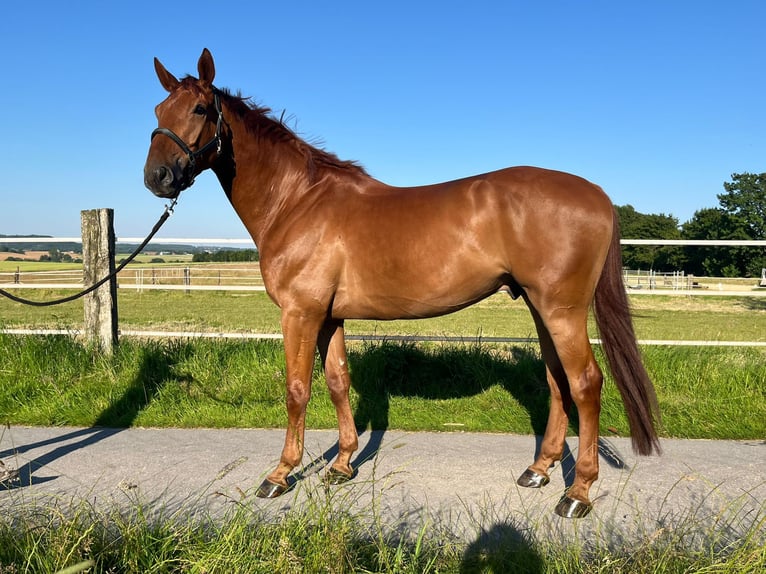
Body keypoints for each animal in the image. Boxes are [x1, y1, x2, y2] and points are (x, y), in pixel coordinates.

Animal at [147, 47, 664, 520]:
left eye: (199, 109)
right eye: (157, 111)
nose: (157, 177)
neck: (297, 202)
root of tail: (598, 194)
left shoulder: (300, 313)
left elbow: (297, 390)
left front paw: (280, 474)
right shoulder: (329, 317)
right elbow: (338, 382)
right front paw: (342, 466)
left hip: (562, 310)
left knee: (585, 384)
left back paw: (577, 493)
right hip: (542, 309)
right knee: (558, 381)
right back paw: (539, 470)